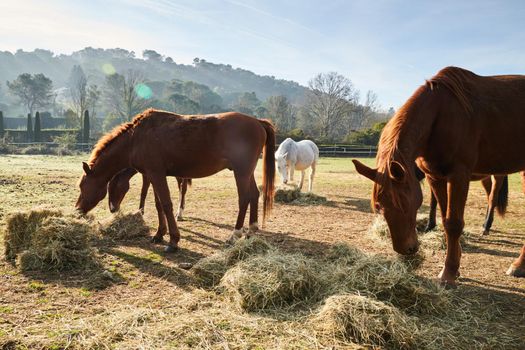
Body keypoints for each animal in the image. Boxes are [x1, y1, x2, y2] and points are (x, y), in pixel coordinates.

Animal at [77, 109, 278, 252]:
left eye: (82, 186)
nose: (78, 209)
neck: (136, 138)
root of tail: (258, 122)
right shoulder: (153, 175)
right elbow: (159, 204)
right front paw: (159, 234)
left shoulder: (156, 174)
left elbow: (166, 204)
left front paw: (173, 240)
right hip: (246, 172)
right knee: (254, 195)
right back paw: (251, 230)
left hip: (241, 172)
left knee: (244, 198)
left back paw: (235, 234)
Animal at [352, 67, 524, 286]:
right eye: (379, 206)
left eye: (405, 204)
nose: (406, 249)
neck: (440, 116)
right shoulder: (435, 177)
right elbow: (444, 218)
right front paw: (454, 263)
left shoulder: (458, 176)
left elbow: (454, 223)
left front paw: (448, 272)